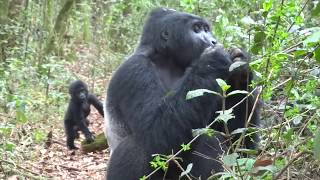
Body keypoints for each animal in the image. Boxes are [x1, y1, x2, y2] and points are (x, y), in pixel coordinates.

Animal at [105, 8, 260, 179]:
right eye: (197, 29)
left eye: (207, 29)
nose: (213, 41)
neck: (167, 60)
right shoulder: (134, 70)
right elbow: (157, 133)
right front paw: (213, 58)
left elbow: (237, 142)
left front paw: (240, 72)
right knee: (136, 146)